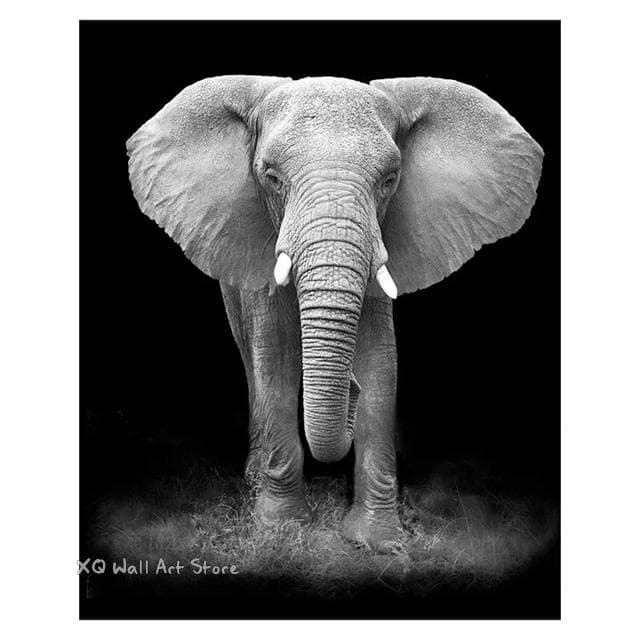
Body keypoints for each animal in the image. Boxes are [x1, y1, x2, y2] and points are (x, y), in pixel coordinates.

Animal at [127, 75, 543, 552]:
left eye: (390, 180)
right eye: (271, 177)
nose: (350, 390)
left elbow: (381, 362)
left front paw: (378, 542)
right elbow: (276, 360)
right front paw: (281, 529)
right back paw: (254, 479)